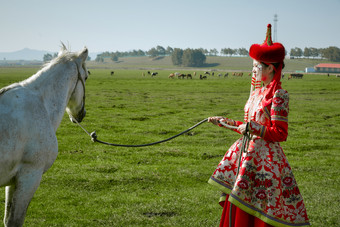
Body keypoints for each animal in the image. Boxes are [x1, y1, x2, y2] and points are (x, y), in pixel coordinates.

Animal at [0, 44, 89, 227]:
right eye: (86, 77)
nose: (81, 114)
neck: (41, 104)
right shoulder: (30, 175)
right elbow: (15, 220)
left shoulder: (13, 180)